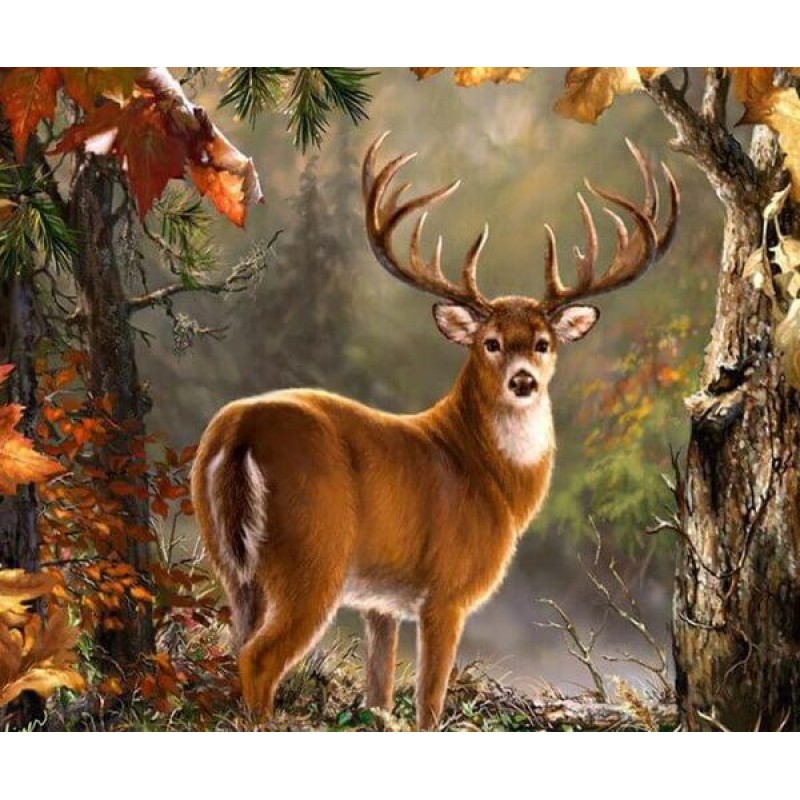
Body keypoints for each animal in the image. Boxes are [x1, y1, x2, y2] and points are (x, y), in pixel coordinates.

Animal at [191, 133, 678, 730]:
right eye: (490, 342)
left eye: (543, 342)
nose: (522, 380)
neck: (490, 479)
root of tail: (240, 431)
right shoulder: (447, 591)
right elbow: (429, 703)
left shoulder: (379, 602)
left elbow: (378, 695)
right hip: (313, 556)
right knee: (259, 659)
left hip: (231, 563)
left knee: (236, 645)